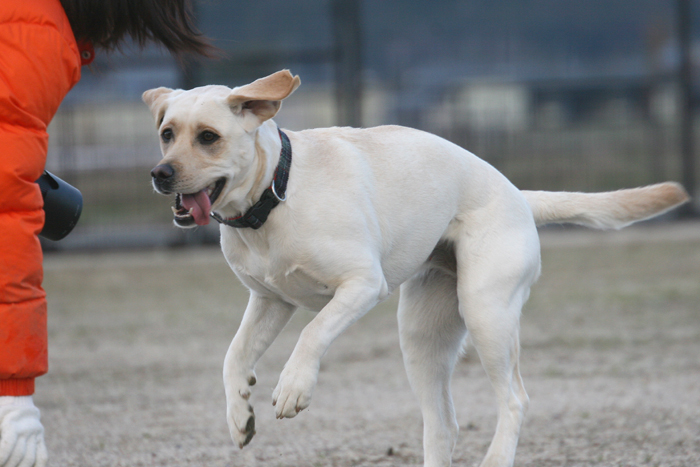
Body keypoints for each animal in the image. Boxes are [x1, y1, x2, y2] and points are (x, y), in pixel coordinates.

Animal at [142, 70, 688, 467]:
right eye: (167, 134)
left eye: (208, 137)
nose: (160, 173)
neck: (276, 195)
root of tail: (518, 195)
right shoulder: (271, 300)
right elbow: (234, 356)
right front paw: (239, 414)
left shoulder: (362, 285)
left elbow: (313, 334)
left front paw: (293, 387)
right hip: (422, 338)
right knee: (443, 425)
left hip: (486, 314)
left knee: (515, 399)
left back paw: (496, 456)